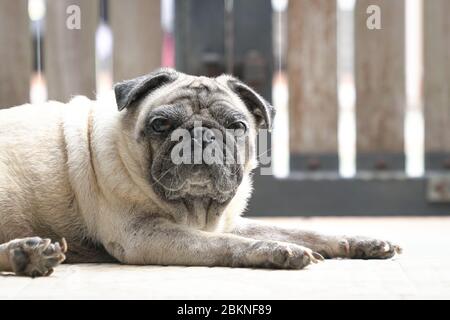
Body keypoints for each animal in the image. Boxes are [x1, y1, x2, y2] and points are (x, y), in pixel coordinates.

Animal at [0, 68, 400, 278]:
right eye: (160, 125)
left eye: (237, 126)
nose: (200, 135)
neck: (194, 208)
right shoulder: (145, 235)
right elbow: (227, 245)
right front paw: (276, 251)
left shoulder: (225, 222)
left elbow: (303, 231)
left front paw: (356, 242)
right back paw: (26, 255)